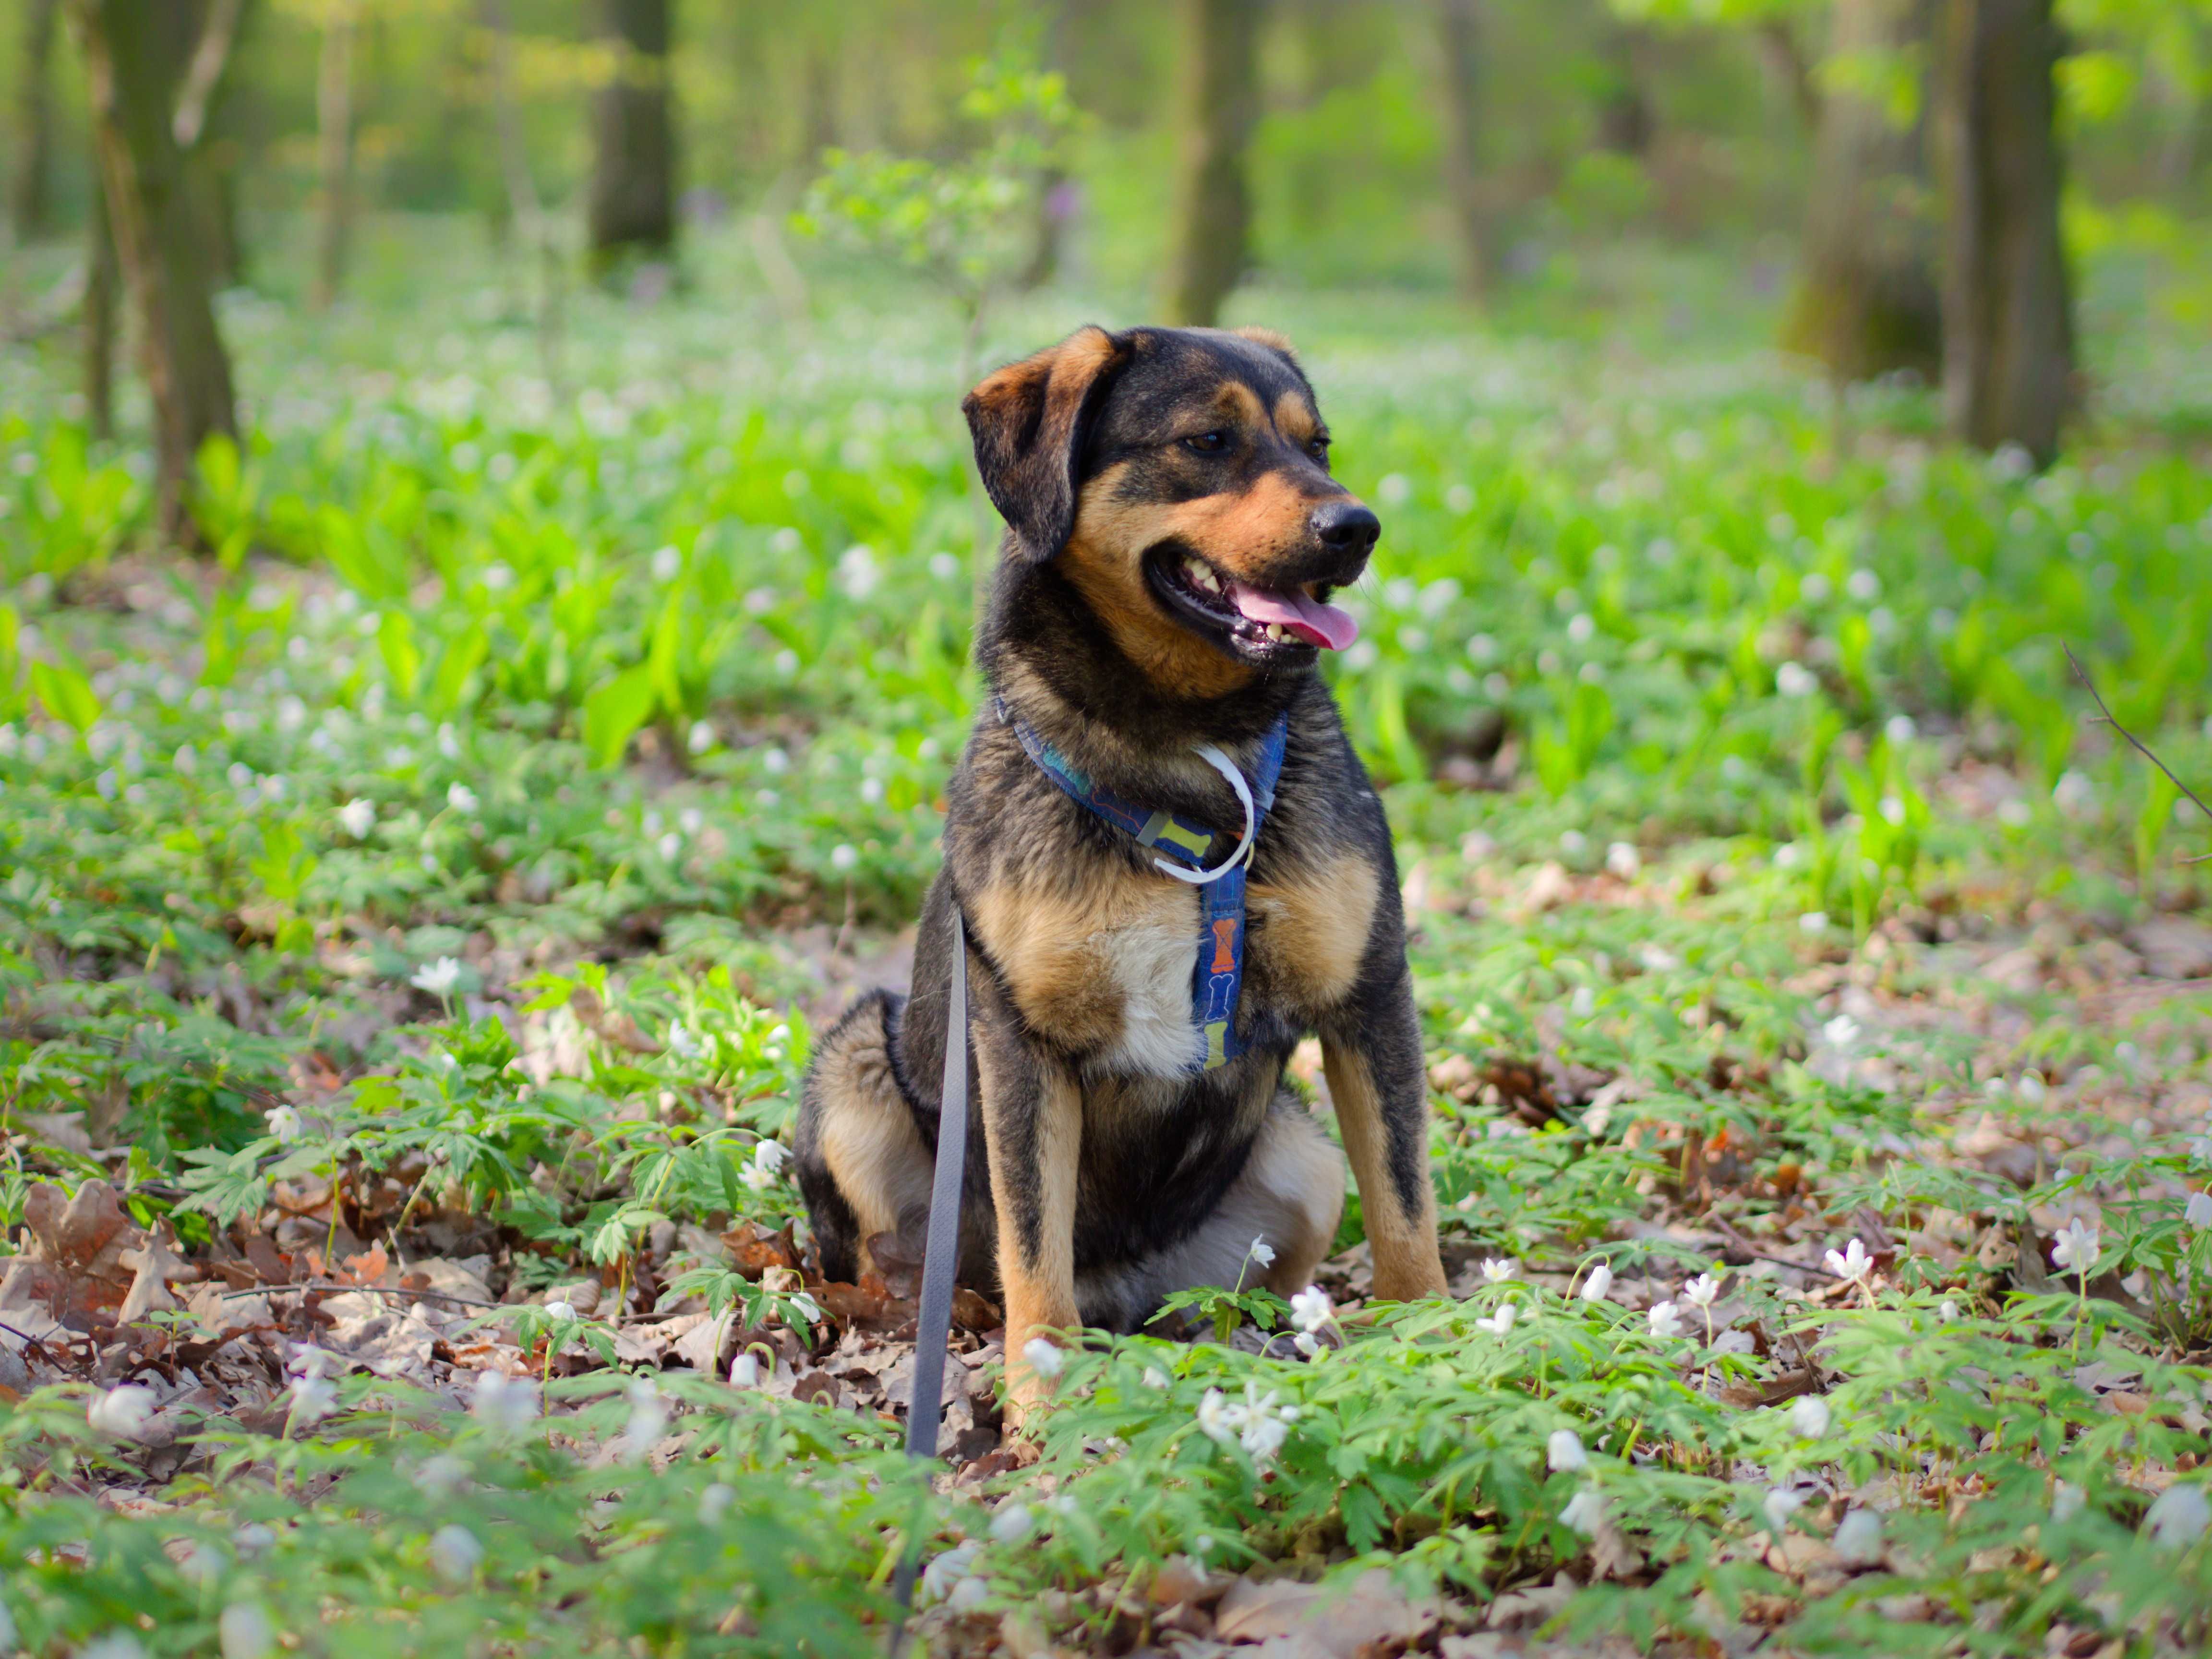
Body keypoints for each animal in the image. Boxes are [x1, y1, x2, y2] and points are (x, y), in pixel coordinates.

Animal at [796, 325, 1451, 1416]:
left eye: (1316, 443)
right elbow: (1034, 1252)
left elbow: (1405, 1205)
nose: (1357, 525)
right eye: (1208, 440)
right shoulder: (1017, 1039)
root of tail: (1131, 1292)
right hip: (856, 1073)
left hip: (1302, 1163)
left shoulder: (1369, 989)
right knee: (915, 1270)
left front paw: (1434, 1349)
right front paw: (1040, 1415)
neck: (1182, 750)